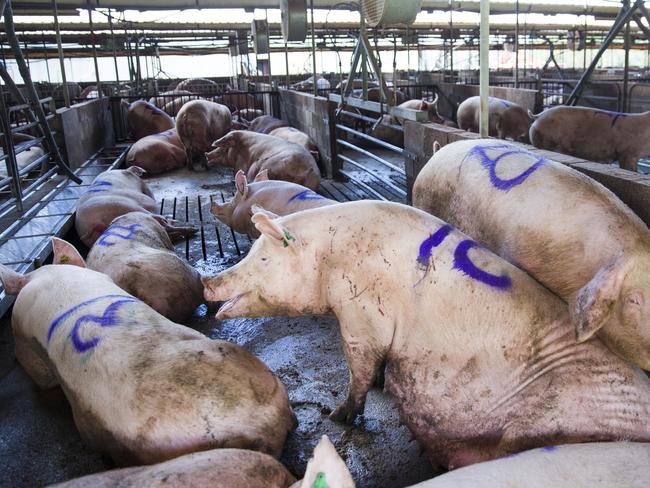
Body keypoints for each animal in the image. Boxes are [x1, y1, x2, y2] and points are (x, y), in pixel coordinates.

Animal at [201, 201, 648, 468]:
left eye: (261, 258)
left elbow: (359, 367)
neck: (329, 261)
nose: (207, 282)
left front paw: (338, 415)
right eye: (251, 251)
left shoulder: (362, 315)